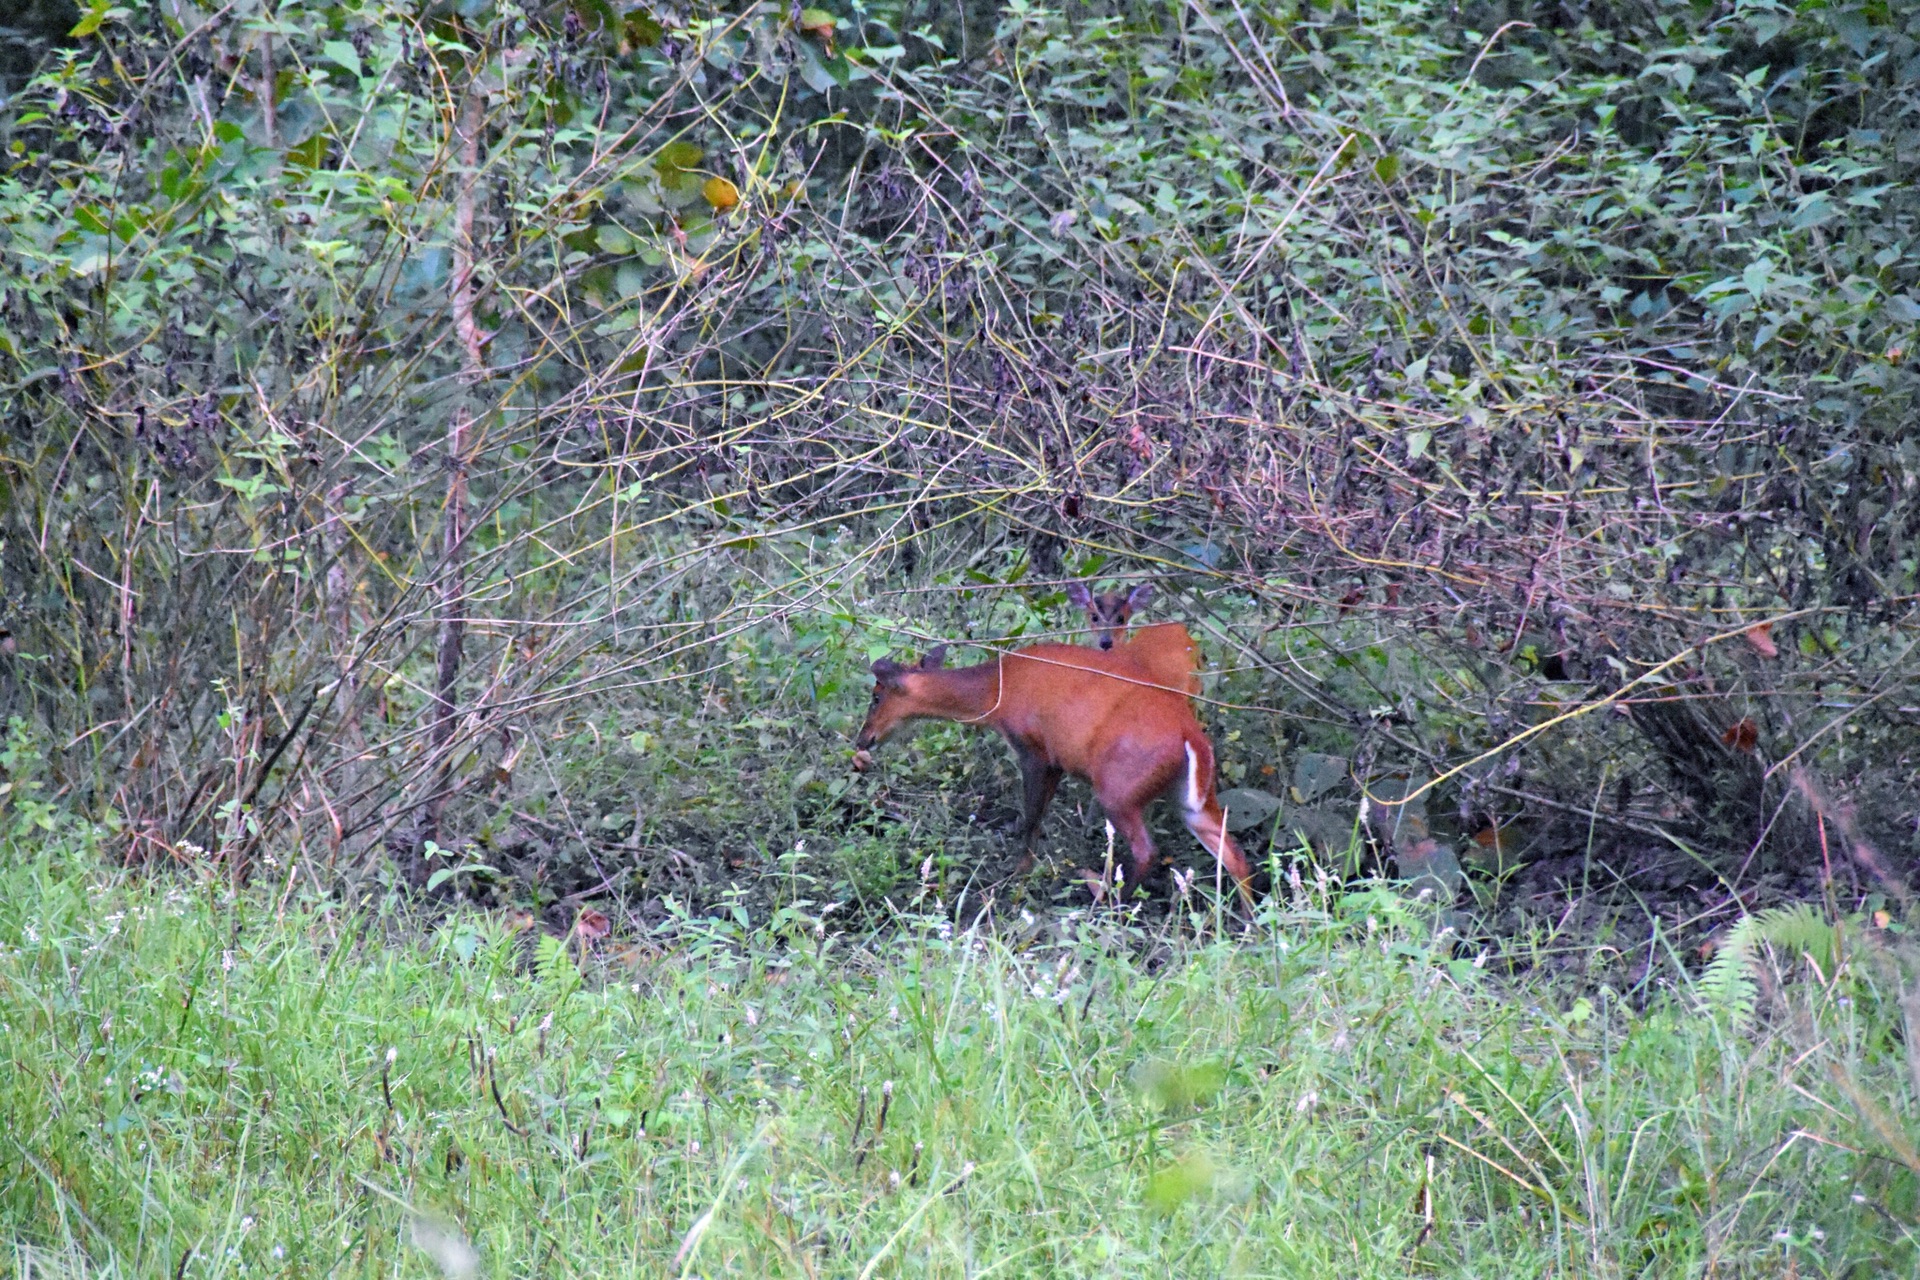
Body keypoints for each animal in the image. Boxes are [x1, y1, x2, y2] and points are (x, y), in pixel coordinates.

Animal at [848, 640, 1251, 901]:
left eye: (876, 697)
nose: (863, 739)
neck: (996, 692)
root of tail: (1191, 737)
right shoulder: (1058, 761)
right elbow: (1037, 816)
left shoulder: (1033, 748)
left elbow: (1030, 817)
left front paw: (1017, 874)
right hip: (1189, 797)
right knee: (1233, 853)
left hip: (1119, 789)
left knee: (1147, 850)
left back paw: (1109, 903)